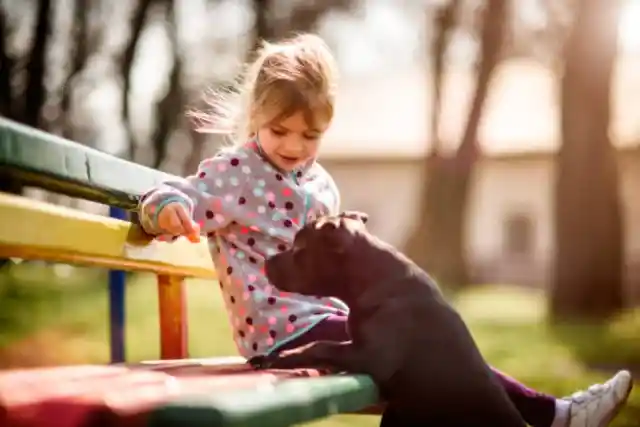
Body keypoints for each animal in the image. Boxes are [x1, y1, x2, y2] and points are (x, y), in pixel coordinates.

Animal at [252, 216, 528, 427]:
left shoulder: (372, 356)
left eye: (300, 248)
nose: (267, 260)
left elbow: (321, 344)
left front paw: (277, 358)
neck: (376, 280)